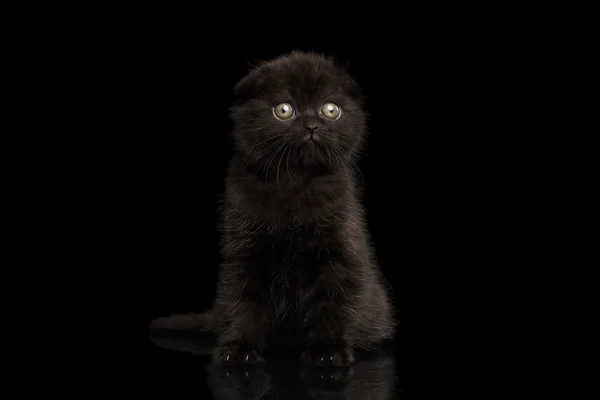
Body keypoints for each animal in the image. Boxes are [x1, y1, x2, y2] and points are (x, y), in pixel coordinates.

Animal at [149, 51, 394, 368]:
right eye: (284, 110)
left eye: (330, 109)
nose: (312, 124)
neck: (295, 183)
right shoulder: (244, 249)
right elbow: (243, 299)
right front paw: (239, 347)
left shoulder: (339, 251)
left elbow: (332, 300)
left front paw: (327, 349)